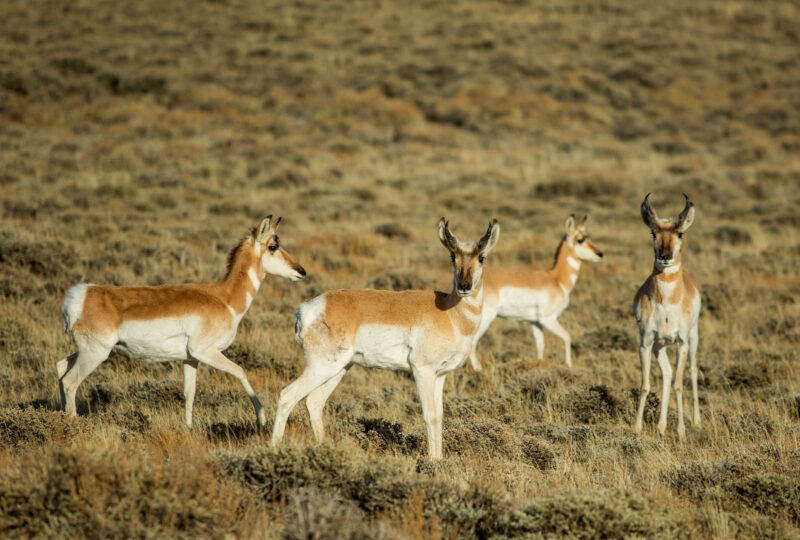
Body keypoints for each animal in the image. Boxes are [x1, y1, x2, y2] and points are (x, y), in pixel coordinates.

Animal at [58, 216, 306, 428]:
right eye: (273, 246)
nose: (301, 271)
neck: (223, 299)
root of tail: (82, 295)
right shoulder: (206, 352)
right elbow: (240, 371)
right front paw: (262, 418)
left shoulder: (190, 359)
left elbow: (189, 392)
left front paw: (189, 428)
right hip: (96, 353)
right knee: (70, 381)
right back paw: (72, 423)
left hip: (93, 351)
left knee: (61, 368)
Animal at [270, 217, 500, 459]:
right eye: (452, 256)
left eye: (482, 257)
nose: (465, 286)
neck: (449, 312)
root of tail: (306, 309)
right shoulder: (422, 371)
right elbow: (429, 416)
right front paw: (432, 461)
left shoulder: (440, 375)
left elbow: (439, 417)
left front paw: (439, 460)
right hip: (322, 367)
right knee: (287, 395)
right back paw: (274, 449)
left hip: (338, 369)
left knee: (314, 402)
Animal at [468, 215, 603, 371]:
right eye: (580, 239)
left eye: (589, 237)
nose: (600, 254)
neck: (557, 279)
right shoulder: (548, 319)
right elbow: (567, 336)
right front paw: (569, 365)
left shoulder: (535, 322)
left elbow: (540, 346)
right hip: (485, 319)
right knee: (472, 343)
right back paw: (479, 370)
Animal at [633, 194, 701, 439]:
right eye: (653, 233)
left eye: (680, 233)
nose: (664, 257)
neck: (666, 302)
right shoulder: (645, 343)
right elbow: (645, 385)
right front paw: (636, 427)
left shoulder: (681, 343)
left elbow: (679, 385)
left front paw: (681, 431)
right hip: (659, 346)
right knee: (667, 374)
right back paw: (661, 426)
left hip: (693, 340)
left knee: (692, 371)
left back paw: (696, 421)